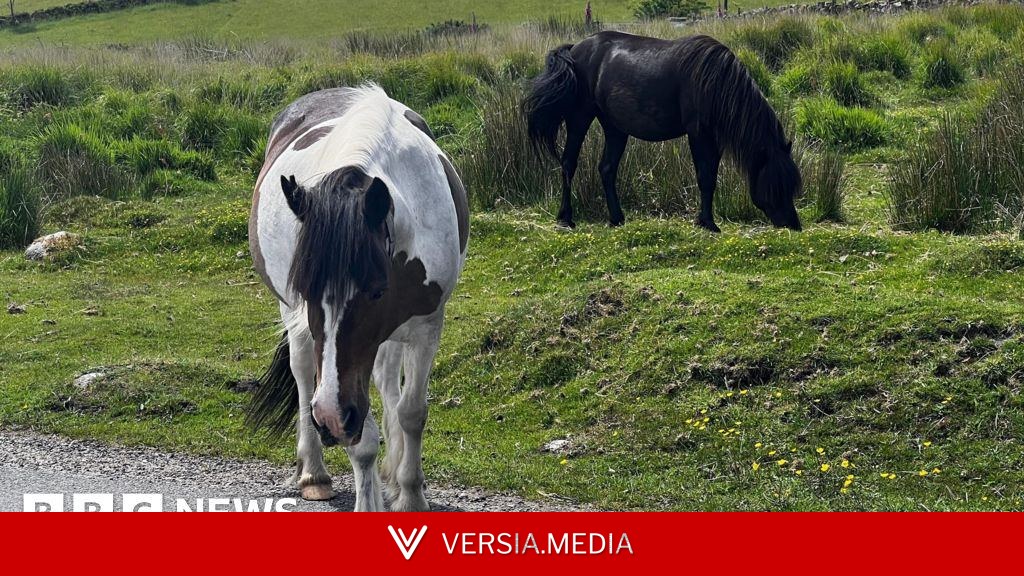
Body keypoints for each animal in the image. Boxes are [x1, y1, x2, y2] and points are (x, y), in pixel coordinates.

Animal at [246, 85, 469, 512]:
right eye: (306, 290)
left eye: (377, 291)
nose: (332, 418)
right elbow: (362, 439)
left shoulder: (426, 325)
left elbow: (411, 411)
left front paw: (411, 494)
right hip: (295, 325)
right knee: (304, 375)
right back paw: (314, 474)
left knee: (386, 382)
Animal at [523, 31, 803, 232]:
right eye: (777, 183)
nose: (793, 224)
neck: (714, 82)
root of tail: (575, 49)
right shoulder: (698, 134)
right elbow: (704, 177)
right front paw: (708, 224)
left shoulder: (715, 139)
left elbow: (711, 178)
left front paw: (705, 220)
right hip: (579, 118)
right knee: (568, 164)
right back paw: (566, 219)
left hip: (615, 128)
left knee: (606, 168)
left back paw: (617, 218)